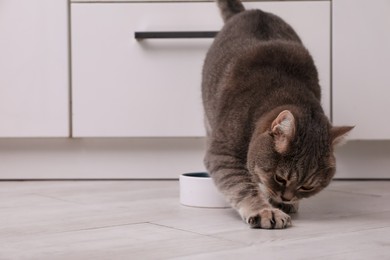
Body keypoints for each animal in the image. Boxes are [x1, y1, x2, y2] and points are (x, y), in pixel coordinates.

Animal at [201, 0, 354, 229]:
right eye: (280, 178)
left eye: (307, 187)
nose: (286, 198)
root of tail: (253, 11)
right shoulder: (222, 153)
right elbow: (243, 185)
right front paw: (265, 211)